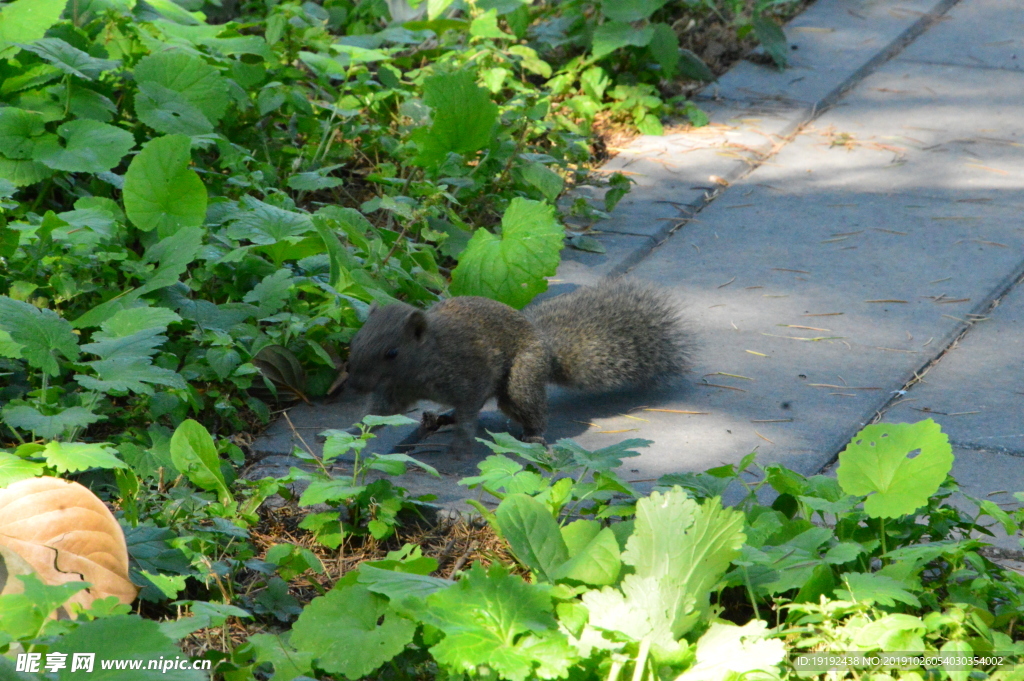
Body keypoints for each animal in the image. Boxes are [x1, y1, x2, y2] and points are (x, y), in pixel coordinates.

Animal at [346, 276, 696, 456]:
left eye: (392, 352)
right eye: (355, 339)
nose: (355, 384)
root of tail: (545, 346)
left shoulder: (467, 374)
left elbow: (470, 408)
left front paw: (461, 441)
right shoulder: (394, 389)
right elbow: (377, 413)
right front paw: (351, 430)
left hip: (520, 380)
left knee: (527, 407)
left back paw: (533, 437)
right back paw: (439, 418)